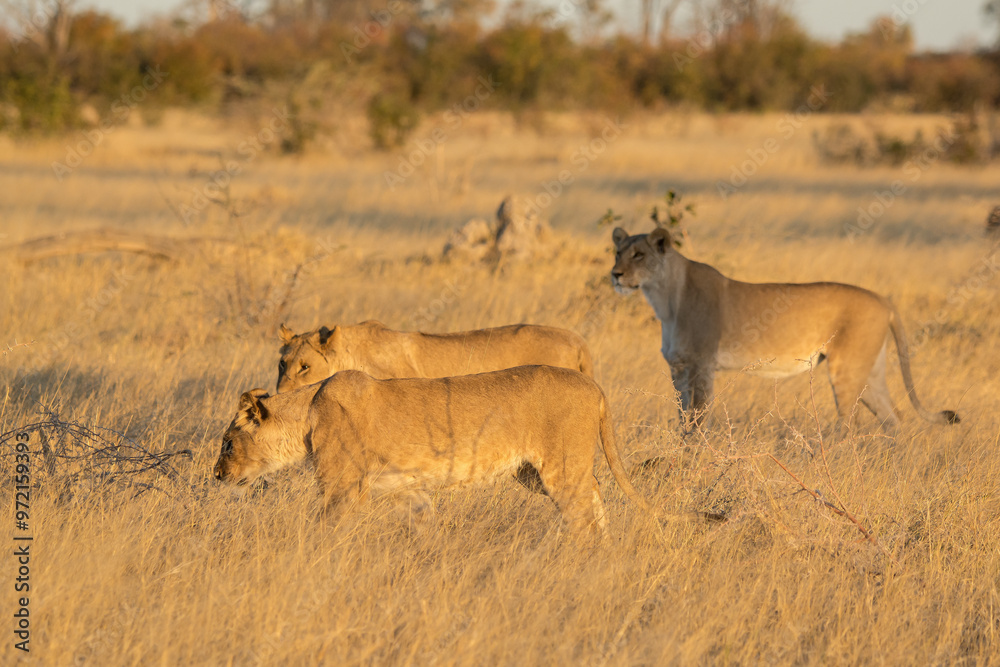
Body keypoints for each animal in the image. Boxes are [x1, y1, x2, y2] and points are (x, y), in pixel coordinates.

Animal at [214, 365, 650, 537]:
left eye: (228, 442)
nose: (216, 476)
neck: (307, 412)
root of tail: (593, 385)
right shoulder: (409, 489)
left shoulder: (342, 485)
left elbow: (327, 528)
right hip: (534, 472)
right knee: (595, 496)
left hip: (559, 467)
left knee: (583, 514)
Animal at [610, 226, 960, 433]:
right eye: (617, 252)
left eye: (639, 255)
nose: (615, 274)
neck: (665, 298)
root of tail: (883, 299)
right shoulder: (679, 370)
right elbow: (682, 419)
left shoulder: (702, 367)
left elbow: (697, 421)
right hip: (870, 371)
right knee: (894, 419)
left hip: (846, 369)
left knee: (850, 425)